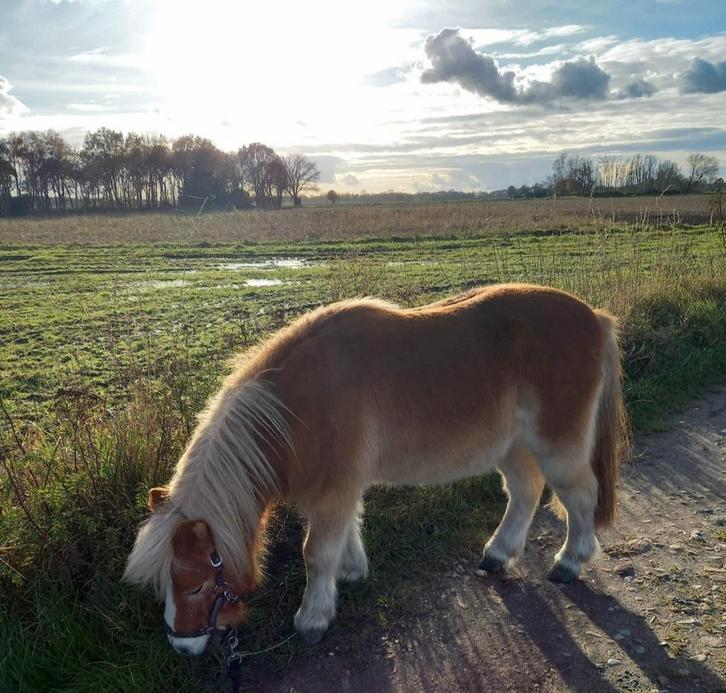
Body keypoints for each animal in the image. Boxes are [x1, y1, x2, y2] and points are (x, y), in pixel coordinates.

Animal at [123, 283, 629, 655]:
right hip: (514, 446)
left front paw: (313, 617)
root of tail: (595, 318)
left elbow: (316, 553)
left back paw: (570, 562)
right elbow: (346, 532)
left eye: (194, 585)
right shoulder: (339, 490)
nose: (182, 647)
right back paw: (497, 554)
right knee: (525, 492)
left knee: (579, 496)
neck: (294, 406)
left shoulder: (333, 491)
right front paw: (350, 572)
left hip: (556, 446)